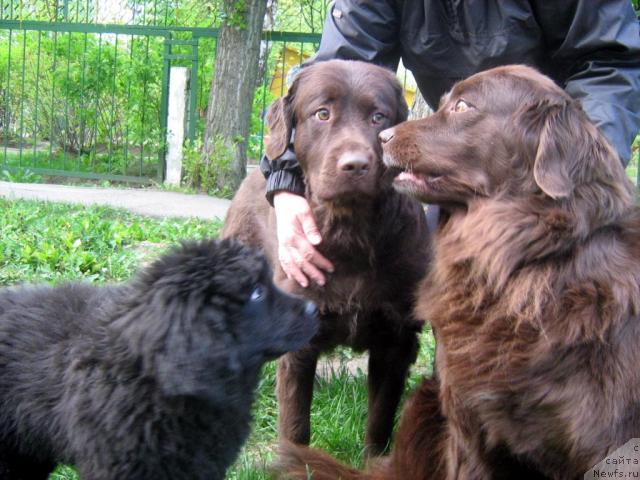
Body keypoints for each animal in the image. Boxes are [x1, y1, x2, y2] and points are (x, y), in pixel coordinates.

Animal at [221, 60, 430, 454]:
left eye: (378, 117)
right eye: (322, 113)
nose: (356, 165)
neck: (350, 234)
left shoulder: (396, 341)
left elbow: (380, 420)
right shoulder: (300, 342)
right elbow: (296, 425)